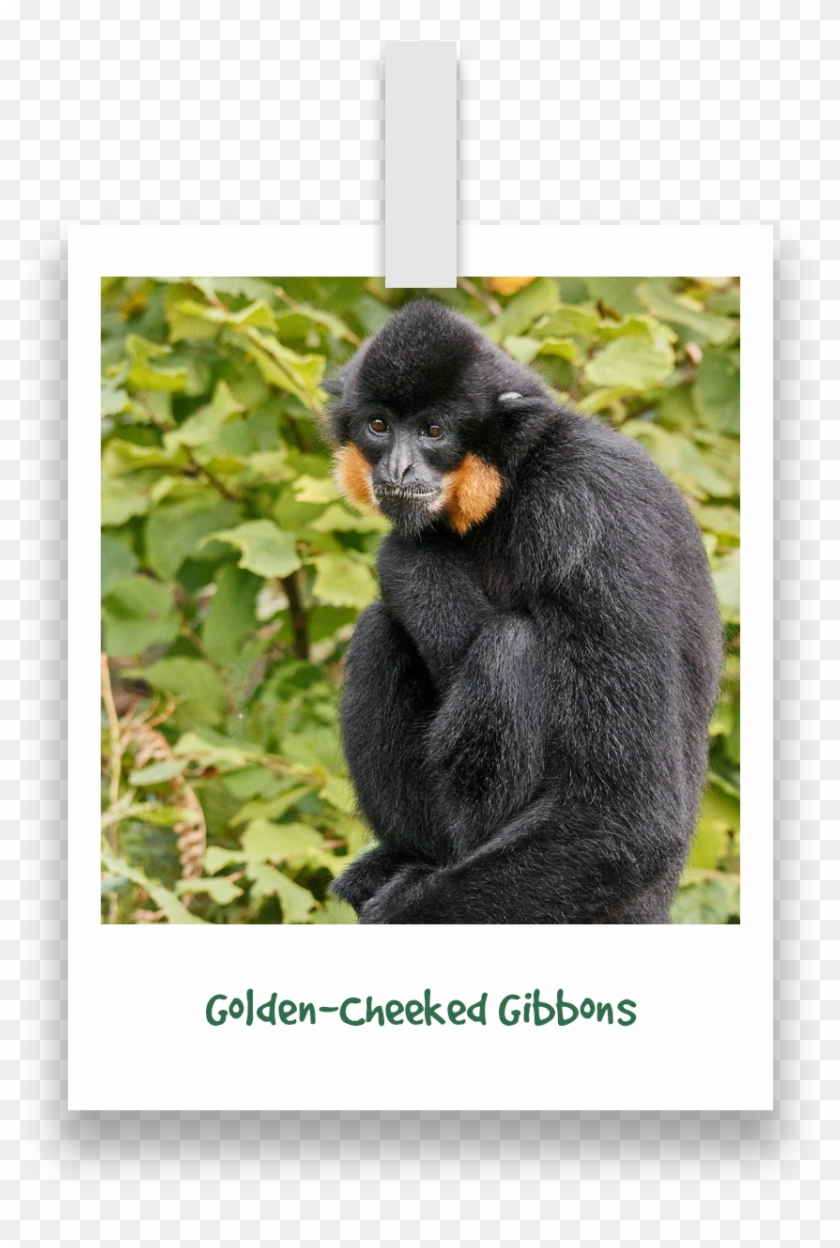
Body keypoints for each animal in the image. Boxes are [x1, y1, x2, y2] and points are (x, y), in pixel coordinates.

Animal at [323, 298, 722, 924]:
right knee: (379, 628)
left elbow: (627, 819)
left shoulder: (587, 510)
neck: (516, 479)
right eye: (379, 426)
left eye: (433, 431)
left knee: (510, 645)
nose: (398, 470)